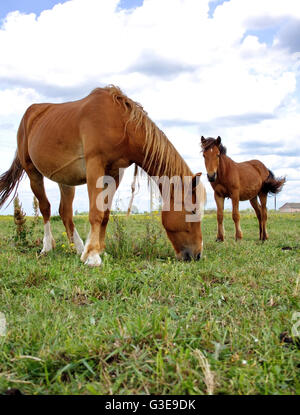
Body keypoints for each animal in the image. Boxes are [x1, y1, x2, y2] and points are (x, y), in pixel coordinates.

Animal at [0, 86, 206, 266]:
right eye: (192, 211)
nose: (197, 255)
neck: (121, 124)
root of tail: (30, 114)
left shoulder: (114, 173)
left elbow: (105, 213)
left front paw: (98, 250)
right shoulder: (95, 166)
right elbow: (96, 212)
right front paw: (92, 256)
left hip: (65, 181)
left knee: (65, 212)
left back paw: (78, 248)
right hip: (33, 173)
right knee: (45, 209)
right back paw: (47, 248)